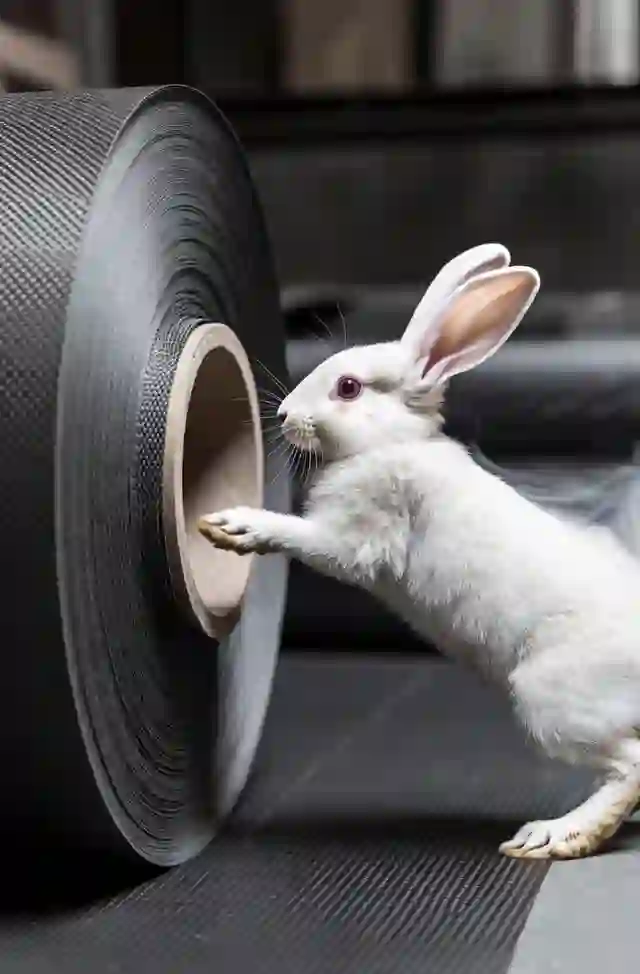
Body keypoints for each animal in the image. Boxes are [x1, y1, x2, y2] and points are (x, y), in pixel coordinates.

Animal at [199, 243, 640, 860]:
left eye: (349, 388)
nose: (284, 416)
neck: (388, 443)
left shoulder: (357, 535)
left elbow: (304, 539)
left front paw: (234, 526)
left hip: (550, 699)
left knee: (628, 769)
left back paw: (550, 838)